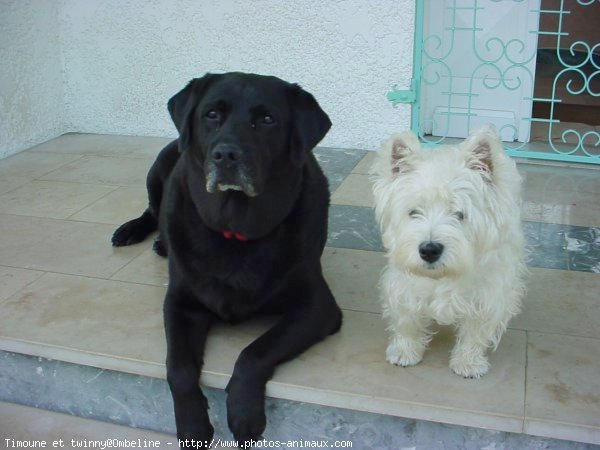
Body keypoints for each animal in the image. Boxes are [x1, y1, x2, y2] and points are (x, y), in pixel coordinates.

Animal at [112, 72, 342, 444]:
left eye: (267, 119)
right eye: (211, 114)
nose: (226, 155)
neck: (235, 231)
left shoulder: (318, 306)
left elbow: (254, 352)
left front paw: (244, 412)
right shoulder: (180, 303)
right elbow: (178, 367)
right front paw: (192, 424)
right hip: (159, 167)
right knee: (151, 210)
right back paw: (138, 233)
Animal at [370, 125, 524, 378]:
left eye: (460, 214)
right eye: (414, 212)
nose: (429, 250)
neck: (441, 276)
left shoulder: (488, 294)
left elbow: (476, 331)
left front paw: (468, 362)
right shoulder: (404, 284)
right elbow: (406, 320)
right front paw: (404, 351)